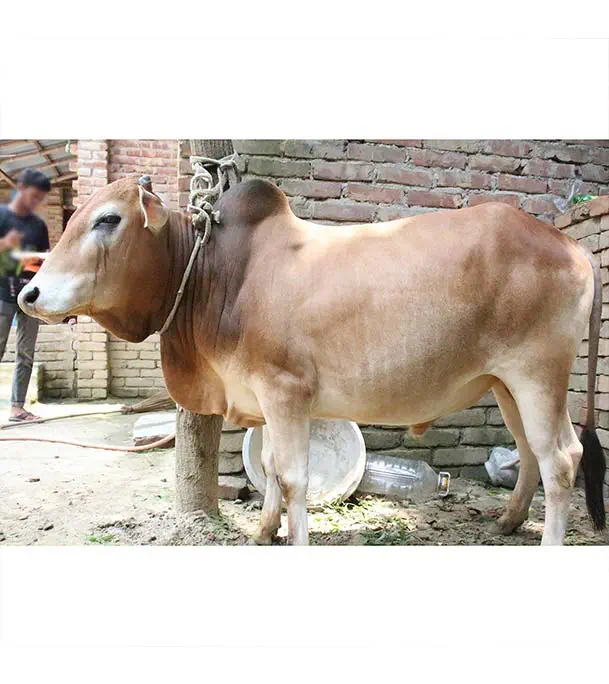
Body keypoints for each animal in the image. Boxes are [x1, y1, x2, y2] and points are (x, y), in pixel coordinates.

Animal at [18, 175, 606, 545]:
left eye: (108, 219)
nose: (29, 293)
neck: (221, 276)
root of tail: (570, 246)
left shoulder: (286, 392)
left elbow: (294, 477)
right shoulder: (262, 398)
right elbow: (269, 468)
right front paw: (263, 532)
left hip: (538, 376)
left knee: (561, 459)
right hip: (506, 384)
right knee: (530, 452)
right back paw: (507, 523)